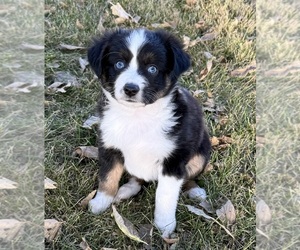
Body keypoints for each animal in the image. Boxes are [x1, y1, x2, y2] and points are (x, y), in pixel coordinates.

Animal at [86, 28, 211, 237]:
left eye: (152, 69)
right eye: (119, 64)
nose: (130, 89)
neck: (137, 116)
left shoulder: (173, 160)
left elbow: (165, 194)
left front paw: (165, 225)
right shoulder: (110, 146)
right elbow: (107, 176)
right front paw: (100, 203)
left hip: (201, 153)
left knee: (188, 176)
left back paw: (195, 191)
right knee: (138, 178)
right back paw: (125, 190)